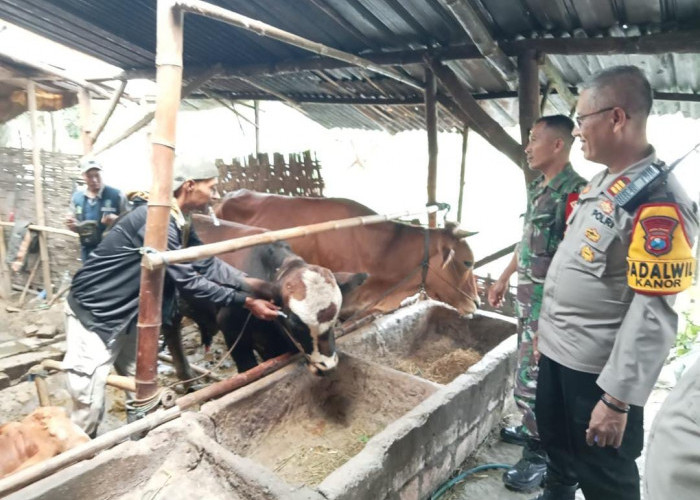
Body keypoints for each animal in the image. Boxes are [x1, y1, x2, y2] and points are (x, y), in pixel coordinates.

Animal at [161, 216, 364, 378]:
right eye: (294, 324)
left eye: (335, 319)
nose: (327, 367)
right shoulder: (231, 330)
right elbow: (250, 370)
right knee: (172, 332)